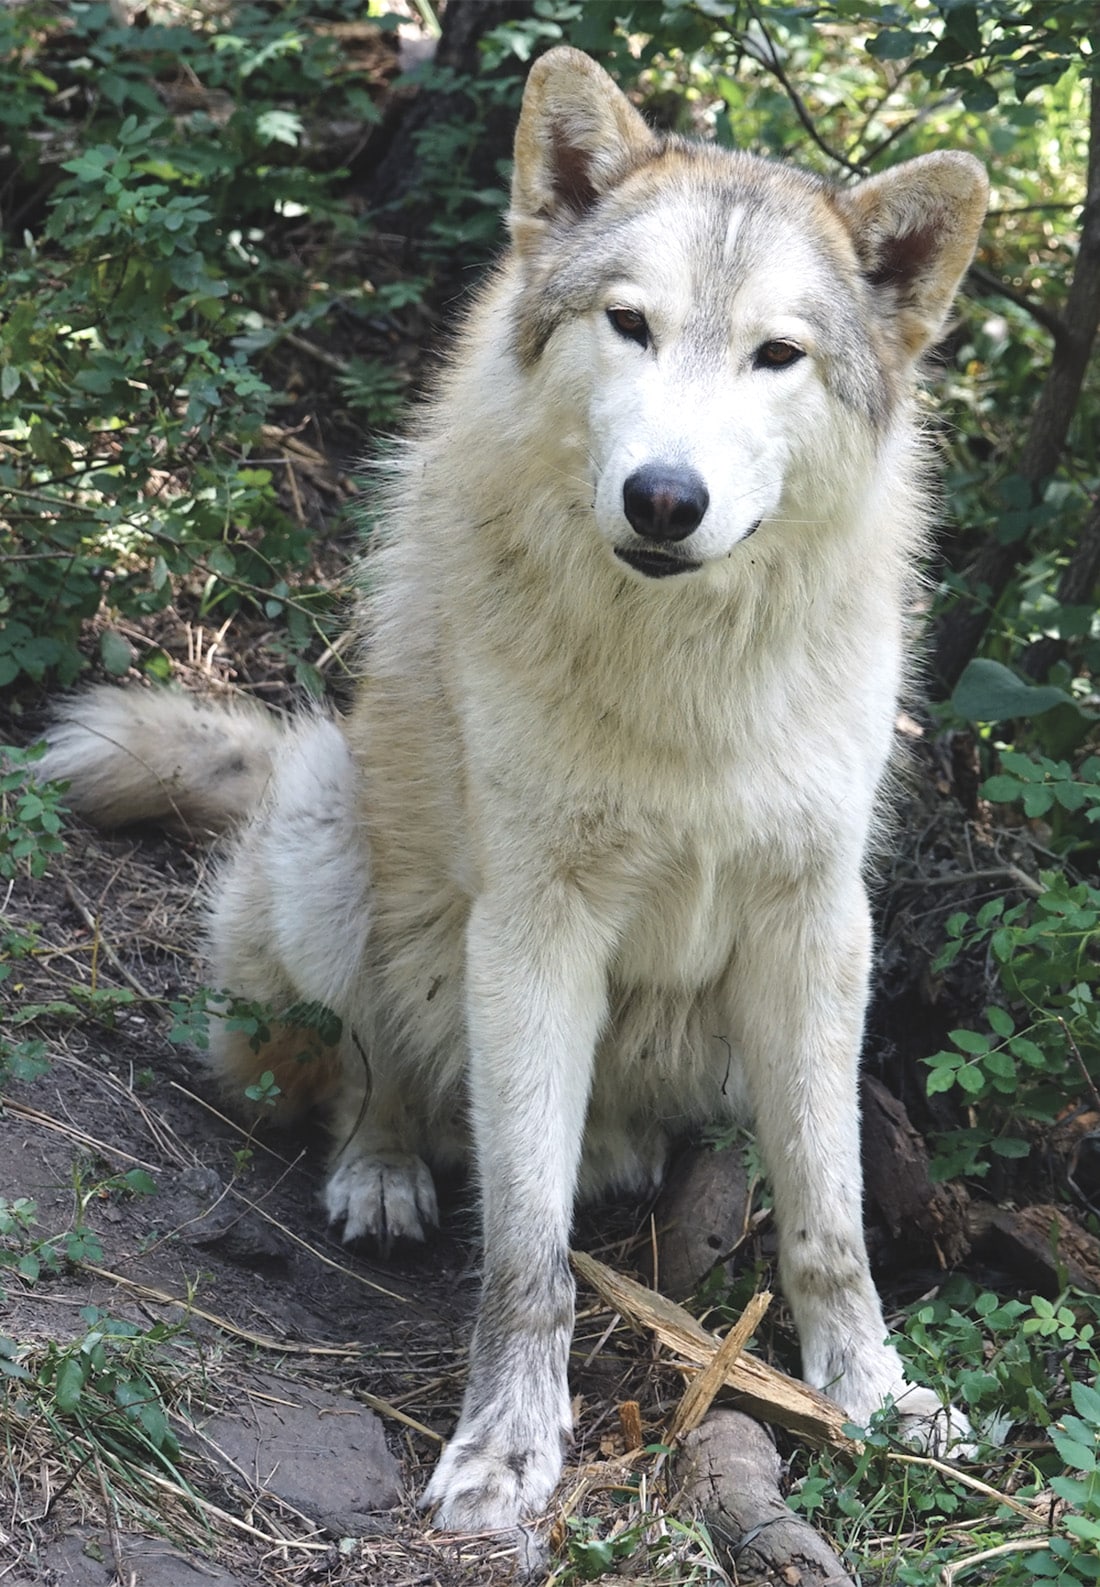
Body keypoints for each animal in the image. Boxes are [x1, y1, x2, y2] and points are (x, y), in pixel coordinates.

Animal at [42, 46, 984, 1536]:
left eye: (778, 355)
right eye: (630, 325)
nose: (664, 498)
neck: (688, 668)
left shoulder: (817, 922)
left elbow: (830, 1223)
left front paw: (876, 1398)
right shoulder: (538, 926)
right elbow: (526, 1258)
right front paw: (505, 1448)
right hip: (331, 831)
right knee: (367, 1074)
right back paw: (381, 1176)